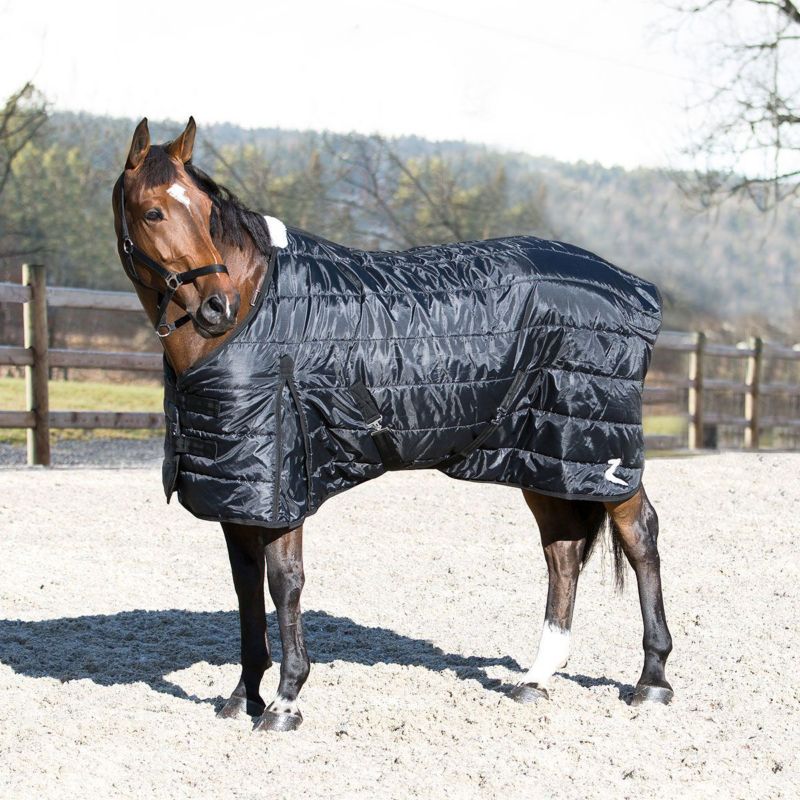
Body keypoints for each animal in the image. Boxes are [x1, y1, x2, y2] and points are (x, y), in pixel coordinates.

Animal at [112, 117, 673, 733]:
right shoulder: (237, 493)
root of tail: (637, 288)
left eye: (207, 212)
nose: (217, 306)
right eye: (153, 212)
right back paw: (536, 678)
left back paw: (652, 680)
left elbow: (284, 582)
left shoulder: (285, 482)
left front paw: (285, 701)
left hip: (604, 458)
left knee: (640, 536)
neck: (259, 307)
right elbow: (245, 588)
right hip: (543, 457)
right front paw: (243, 695)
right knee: (564, 552)